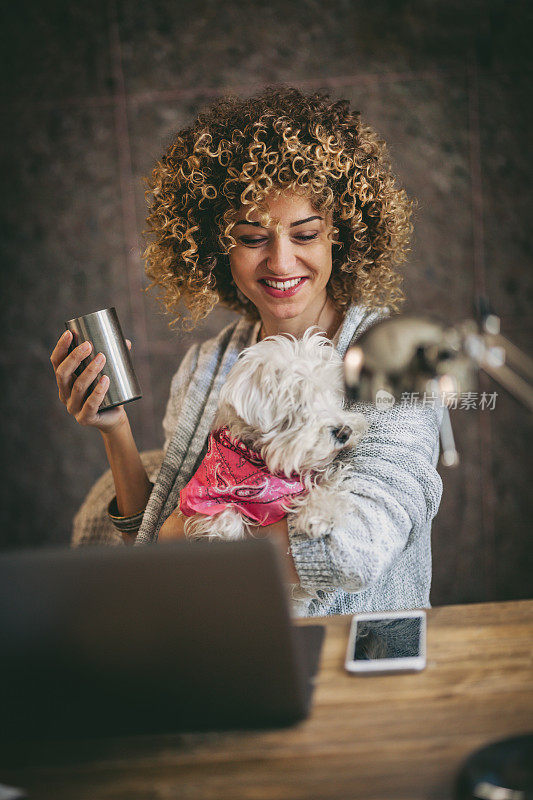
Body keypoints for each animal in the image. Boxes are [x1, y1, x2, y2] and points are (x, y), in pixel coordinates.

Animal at [168, 326, 368, 544]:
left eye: (332, 395)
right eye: (299, 403)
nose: (345, 432)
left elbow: (328, 483)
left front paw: (319, 514)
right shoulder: (201, 497)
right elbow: (223, 517)